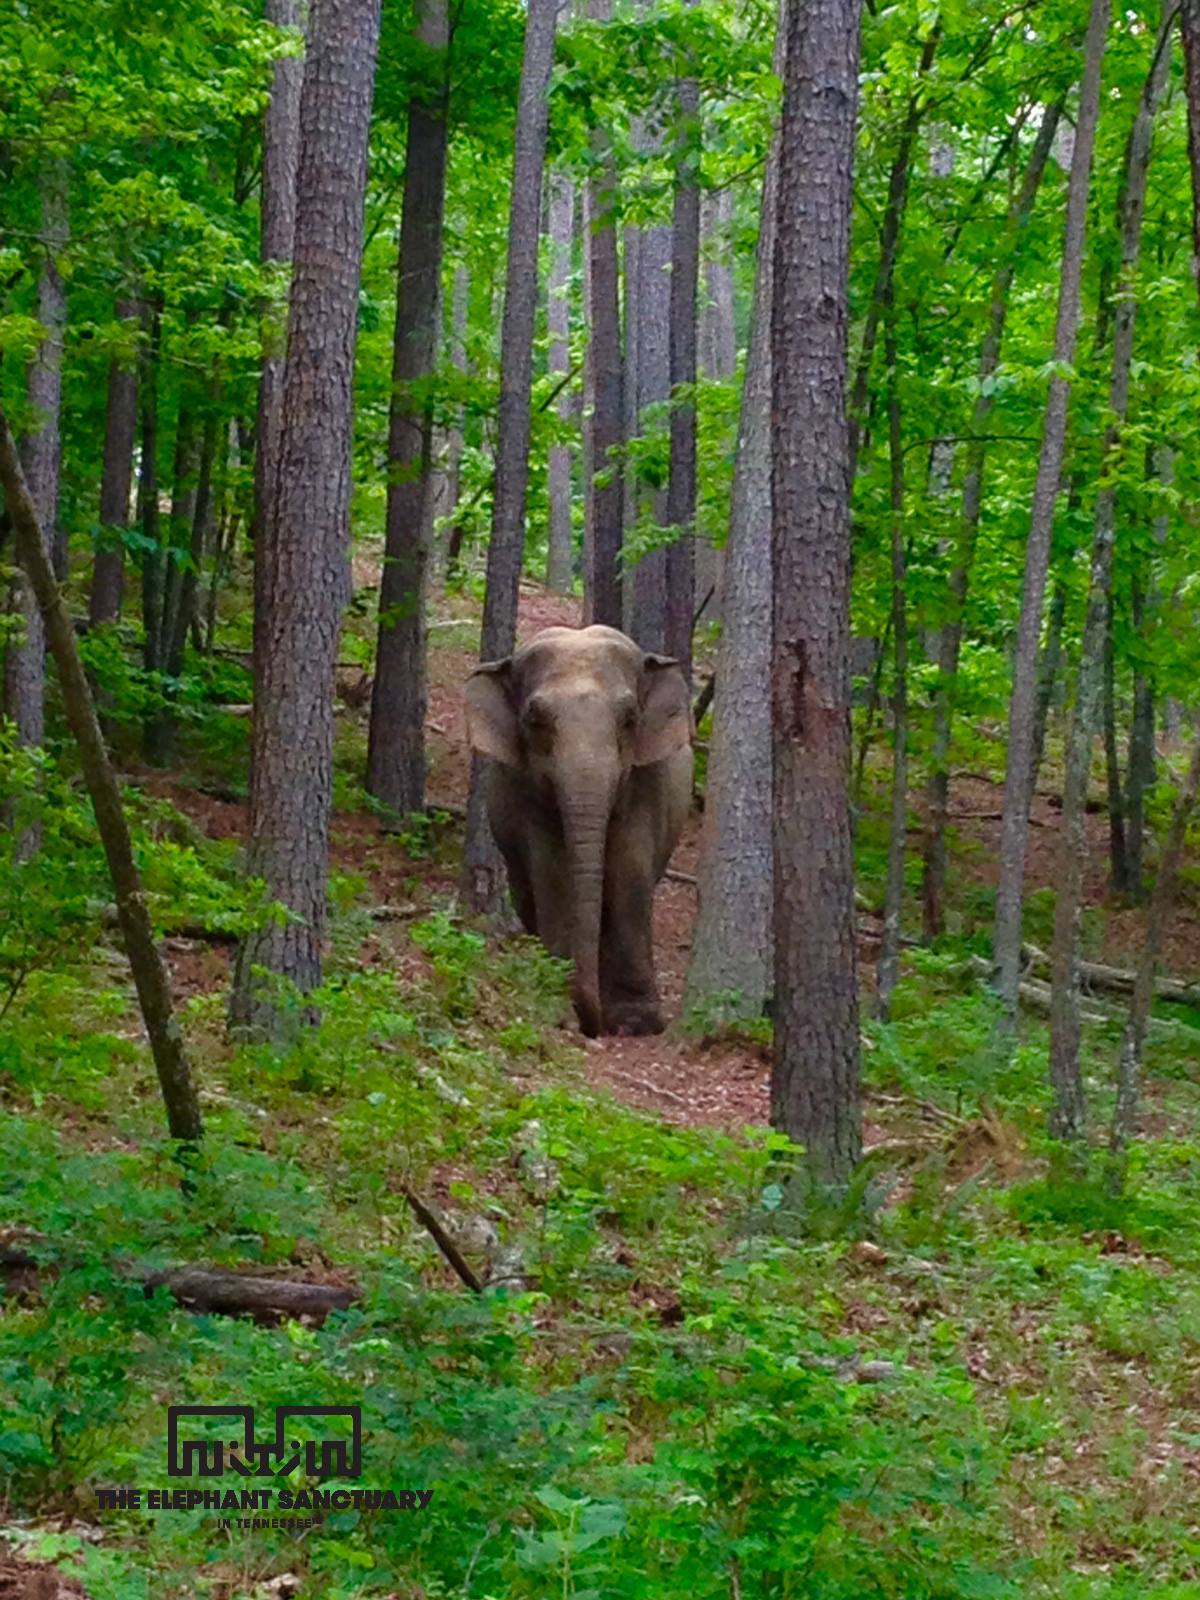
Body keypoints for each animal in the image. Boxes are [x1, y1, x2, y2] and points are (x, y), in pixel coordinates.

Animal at [464, 624, 693, 1038]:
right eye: (534, 719)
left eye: (630, 718)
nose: (592, 1026)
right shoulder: (525, 796)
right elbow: (553, 875)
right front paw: (558, 996)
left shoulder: (649, 783)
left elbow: (629, 873)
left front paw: (638, 1023)